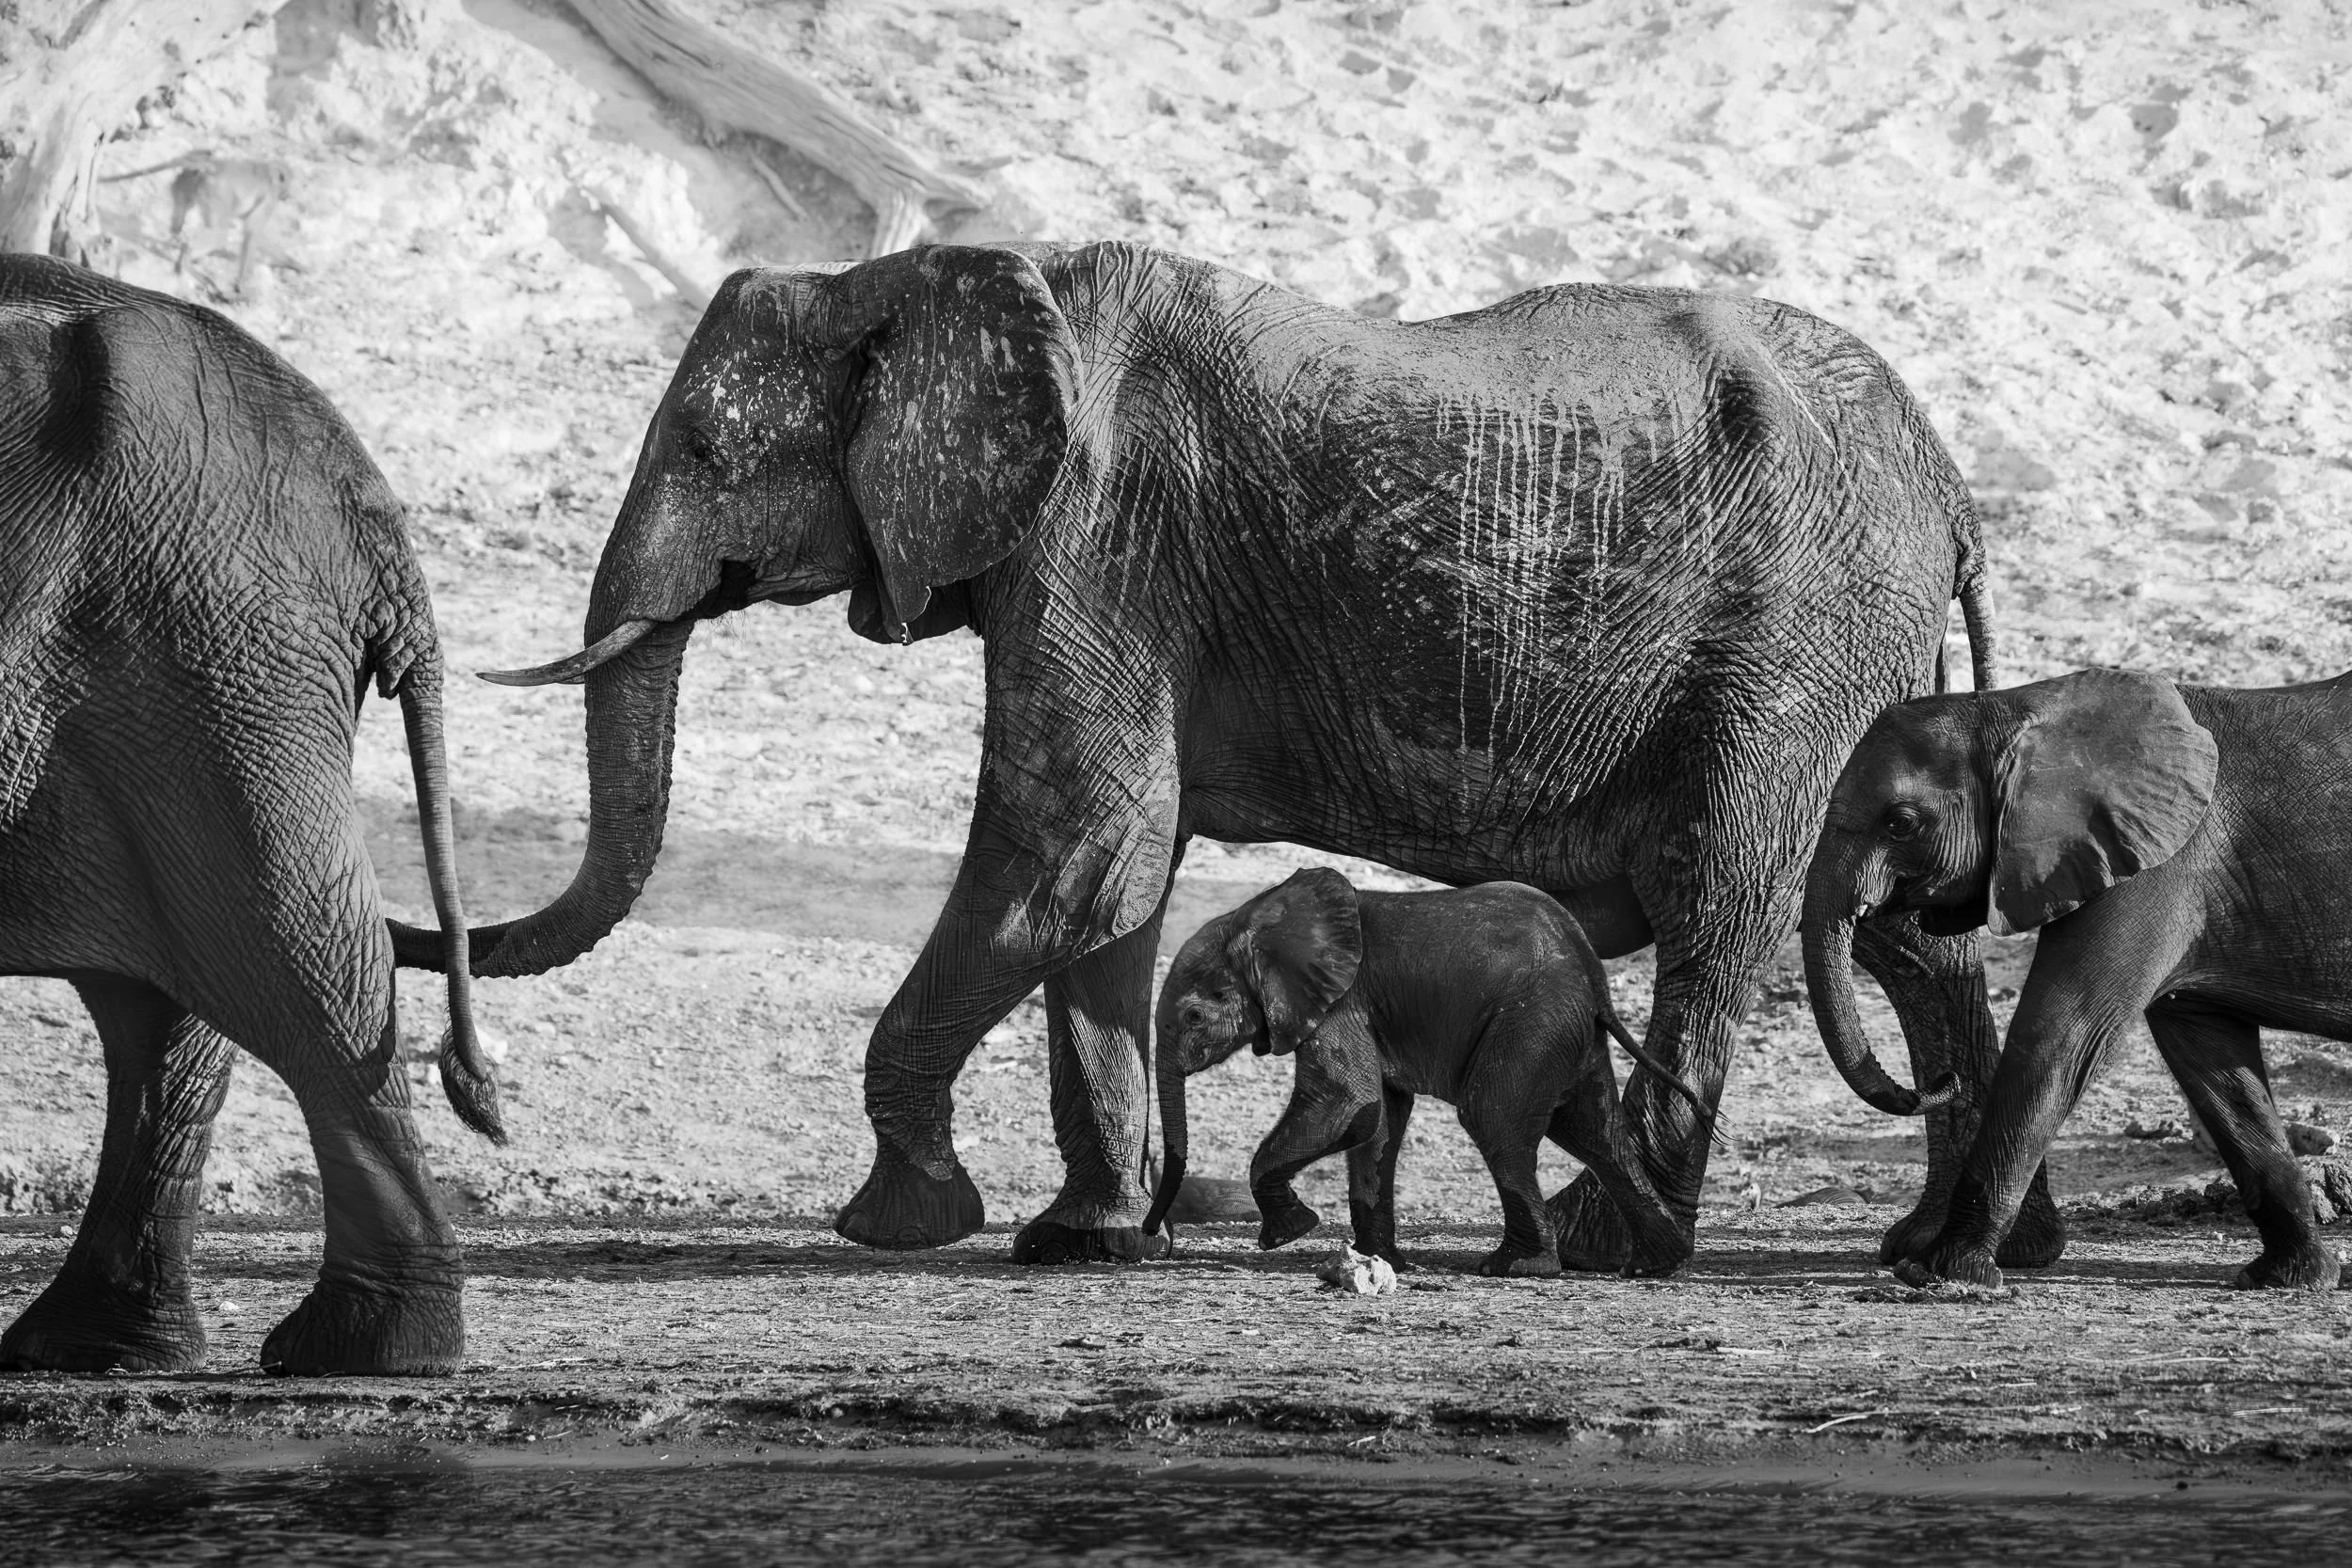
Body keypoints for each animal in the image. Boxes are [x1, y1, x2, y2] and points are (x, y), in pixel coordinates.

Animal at [0, 255, 496, 1376]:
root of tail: (380, 526)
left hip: (210, 635)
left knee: (288, 947)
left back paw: (360, 1351)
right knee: (166, 990)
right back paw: (94, 1347)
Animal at [1143, 870, 1715, 1277]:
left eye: (1194, 1017)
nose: (1153, 1238)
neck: (1260, 916)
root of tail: (1594, 973)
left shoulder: (1343, 1003)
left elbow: (1347, 1102)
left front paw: (1288, 1233)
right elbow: (1377, 1121)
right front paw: (1380, 1262)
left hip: (1534, 1021)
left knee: (1494, 1118)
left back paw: (1515, 1267)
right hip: (1567, 1029)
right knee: (1596, 1132)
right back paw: (1655, 1265)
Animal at [1804, 665, 2352, 1292]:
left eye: (1900, 824)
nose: (1945, 1079)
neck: (2020, 710)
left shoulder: (2155, 867)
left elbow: (2060, 1036)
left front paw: (1939, 1273)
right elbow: (2212, 1065)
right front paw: (2289, 1279)